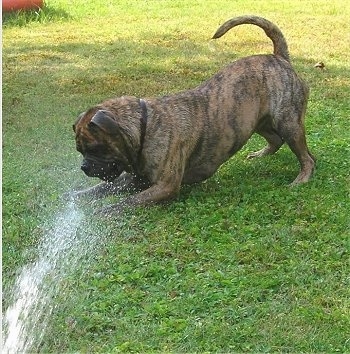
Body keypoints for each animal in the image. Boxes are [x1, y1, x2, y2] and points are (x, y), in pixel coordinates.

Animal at [73, 15, 314, 214]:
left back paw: (302, 179)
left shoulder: (164, 186)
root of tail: (279, 57)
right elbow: (100, 188)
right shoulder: (135, 179)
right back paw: (261, 154)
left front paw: (101, 214)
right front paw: (75, 196)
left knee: (307, 158)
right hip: (257, 121)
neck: (145, 125)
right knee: (275, 140)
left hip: (289, 123)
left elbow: (127, 203)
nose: (84, 167)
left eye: (96, 148)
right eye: (79, 150)